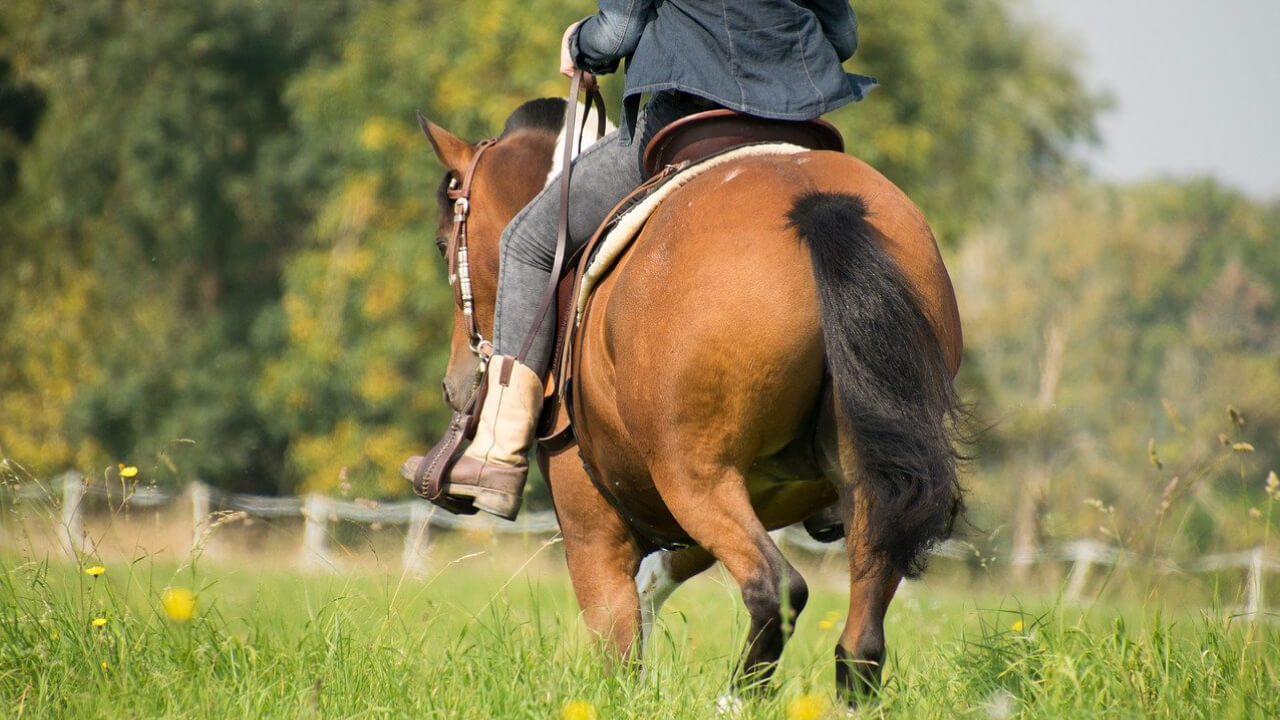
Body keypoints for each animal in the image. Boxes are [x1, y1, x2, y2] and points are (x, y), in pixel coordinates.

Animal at [417, 96, 964, 704]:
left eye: (444, 243)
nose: (453, 383)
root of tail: (815, 203)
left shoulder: (592, 524)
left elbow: (618, 637)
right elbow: (655, 583)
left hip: (695, 478)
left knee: (776, 588)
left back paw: (736, 699)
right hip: (853, 489)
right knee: (861, 639)